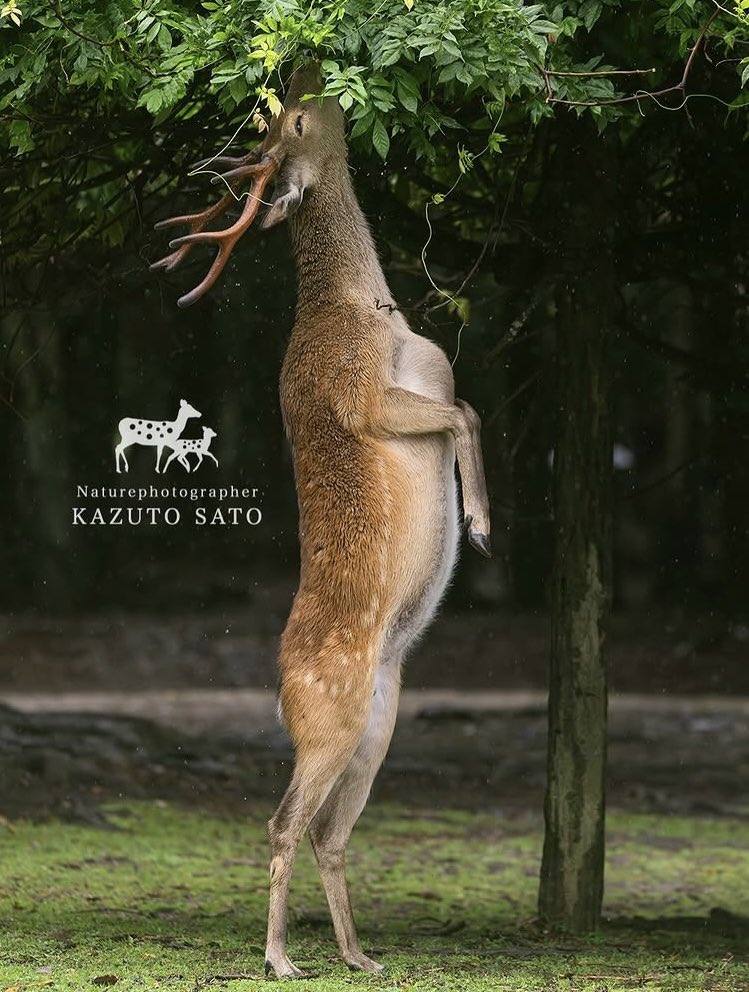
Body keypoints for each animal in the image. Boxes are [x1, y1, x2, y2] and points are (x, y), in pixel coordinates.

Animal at [151, 63, 490, 979]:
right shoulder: (364, 395)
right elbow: (466, 413)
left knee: (328, 834)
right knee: (282, 824)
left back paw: (357, 956)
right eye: (298, 120)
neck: (370, 307)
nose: (310, 70)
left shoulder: (427, 378)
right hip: (329, 721)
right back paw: (279, 959)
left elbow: (466, 408)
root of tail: (278, 688)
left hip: (377, 722)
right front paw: (480, 521)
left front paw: (478, 519)